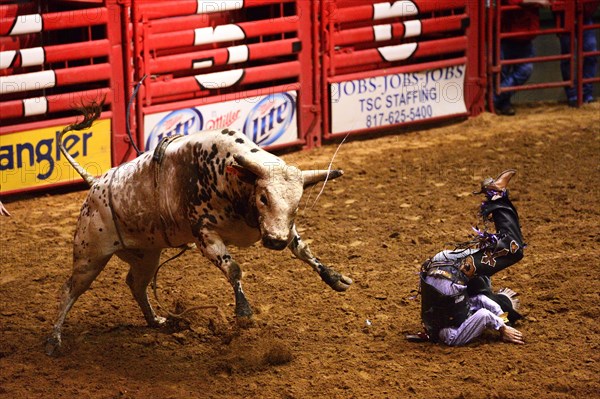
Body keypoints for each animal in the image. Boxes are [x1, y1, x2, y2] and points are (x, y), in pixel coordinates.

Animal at [45, 107, 352, 356]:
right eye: (264, 197)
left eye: (297, 202)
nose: (275, 242)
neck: (234, 180)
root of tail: (95, 183)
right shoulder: (206, 236)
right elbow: (234, 269)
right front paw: (244, 313)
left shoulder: (277, 226)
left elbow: (302, 249)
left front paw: (335, 277)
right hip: (89, 255)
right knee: (69, 289)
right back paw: (54, 340)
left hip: (146, 255)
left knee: (136, 284)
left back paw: (155, 320)